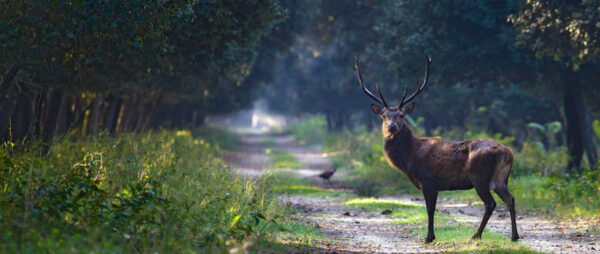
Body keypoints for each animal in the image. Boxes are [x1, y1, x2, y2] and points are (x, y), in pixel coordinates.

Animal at [354, 54, 516, 243]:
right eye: (384, 116)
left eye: (402, 115)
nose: (391, 127)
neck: (409, 157)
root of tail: (508, 152)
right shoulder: (436, 185)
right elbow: (432, 209)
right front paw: (431, 236)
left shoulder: (427, 180)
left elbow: (429, 210)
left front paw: (429, 237)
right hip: (501, 179)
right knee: (510, 199)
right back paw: (514, 236)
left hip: (480, 177)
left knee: (491, 203)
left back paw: (476, 235)